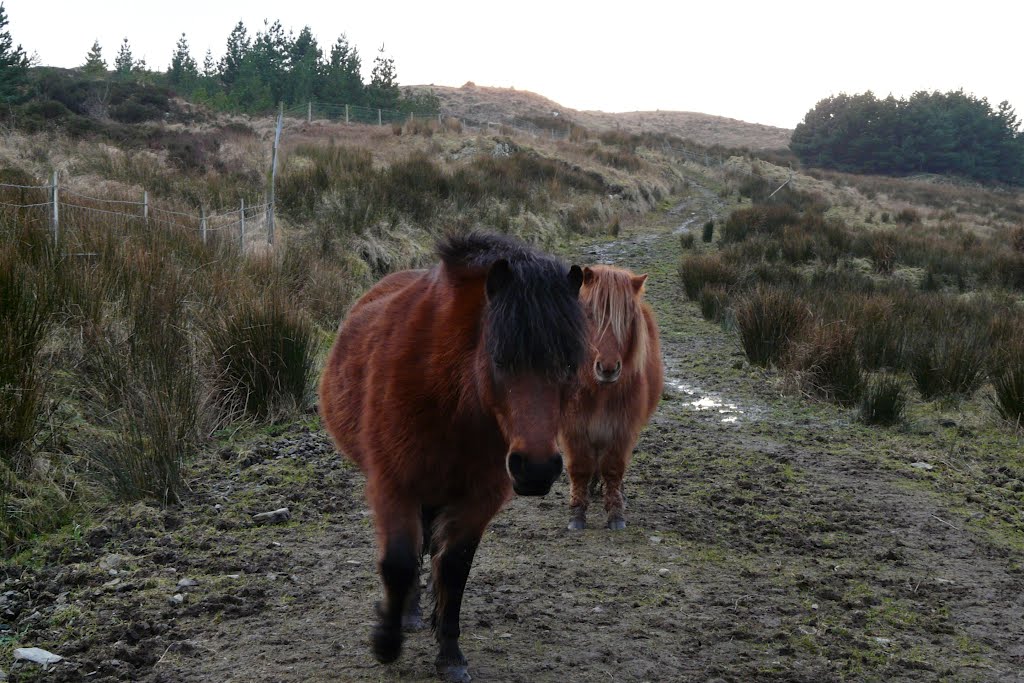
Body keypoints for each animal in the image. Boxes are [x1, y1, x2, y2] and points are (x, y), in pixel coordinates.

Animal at [319, 233, 593, 683]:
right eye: (499, 359)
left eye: (570, 364)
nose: (536, 469)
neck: (448, 395)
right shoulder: (392, 484)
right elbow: (398, 563)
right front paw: (386, 642)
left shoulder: (477, 499)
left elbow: (454, 567)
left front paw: (449, 653)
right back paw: (406, 615)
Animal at [561, 264, 663, 532]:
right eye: (590, 316)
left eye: (627, 319)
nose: (607, 368)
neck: (599, 390)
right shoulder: (573, 427)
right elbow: (580, 467)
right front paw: (577, 513)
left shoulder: (622, 427)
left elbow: (614, 468)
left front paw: (616, 513)